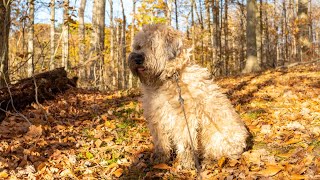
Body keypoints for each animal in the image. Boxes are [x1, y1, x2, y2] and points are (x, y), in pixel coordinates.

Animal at [129, 23, 249, 169]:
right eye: (138, 46)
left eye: (152, 45)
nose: (137, 58)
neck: (169, 78)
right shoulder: (157, 117)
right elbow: (161, 140)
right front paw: (160, 158)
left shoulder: (183, 118)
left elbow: (185, 143)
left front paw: (186, 164)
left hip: (218, 135)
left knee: (222, 152)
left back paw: (210, 160)